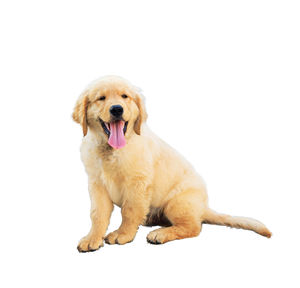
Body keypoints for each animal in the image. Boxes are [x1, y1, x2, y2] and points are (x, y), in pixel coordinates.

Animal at [72, 75, 272, 252]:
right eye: (101, 98)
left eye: (124, 96)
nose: (116, 109)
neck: (111, 150)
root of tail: (203, 208)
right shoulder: (96, 184)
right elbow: (98, 214)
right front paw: (92, 238)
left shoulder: (137, 183)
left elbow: (129, 211)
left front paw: (123, 234)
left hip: (177, 203)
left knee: (194, 227)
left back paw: (160, 234)